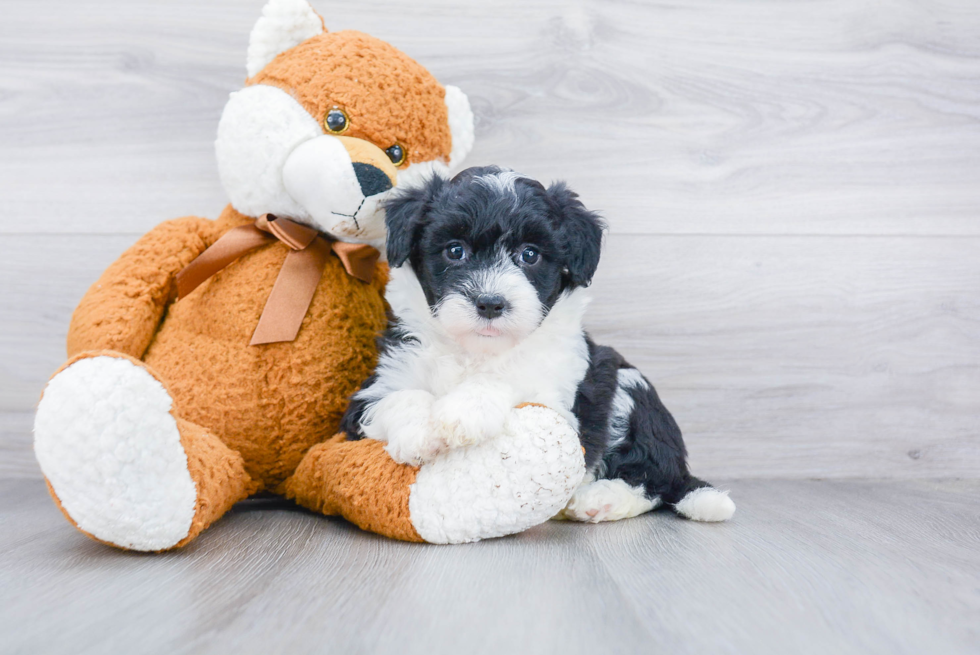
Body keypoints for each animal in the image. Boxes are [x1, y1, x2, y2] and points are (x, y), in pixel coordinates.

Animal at [340, 168, 732, 524]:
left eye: (530, 255)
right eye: (455, 251)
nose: (490, 303)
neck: (476, 351)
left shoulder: (562, 403)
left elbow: (509, 381)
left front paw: (464, 411)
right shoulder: (369, 394)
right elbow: (396, 396)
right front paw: (420, 431)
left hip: (629, 385)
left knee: (656, 477)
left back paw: (601, 499)